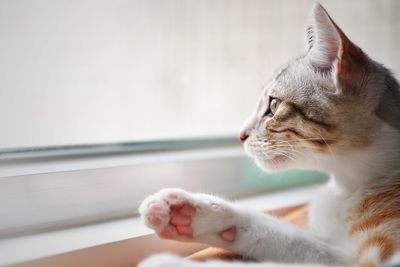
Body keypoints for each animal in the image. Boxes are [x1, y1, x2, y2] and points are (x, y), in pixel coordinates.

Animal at [138, 4, 400, 267]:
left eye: (273, 105)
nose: (240, 135)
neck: (347, 188)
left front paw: (166, 260)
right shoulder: (341, 254)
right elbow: (292, 238)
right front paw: (191, 213)